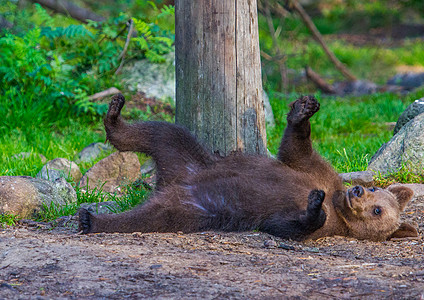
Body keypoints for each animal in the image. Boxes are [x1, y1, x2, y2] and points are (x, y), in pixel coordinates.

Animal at [78, 95, 418, 240]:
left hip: (196, 206)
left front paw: (313, 204)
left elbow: (291, 226)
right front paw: (303, 110)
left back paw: (91, 220)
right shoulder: (321, 173)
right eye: (374, 188)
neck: (339, 203)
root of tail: (173, 181)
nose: (358, 190)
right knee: (161, 132)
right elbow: (297, 150)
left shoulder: (327, 223)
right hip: (189, 157)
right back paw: (114, 114)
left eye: (378, 210)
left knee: (152, 217)